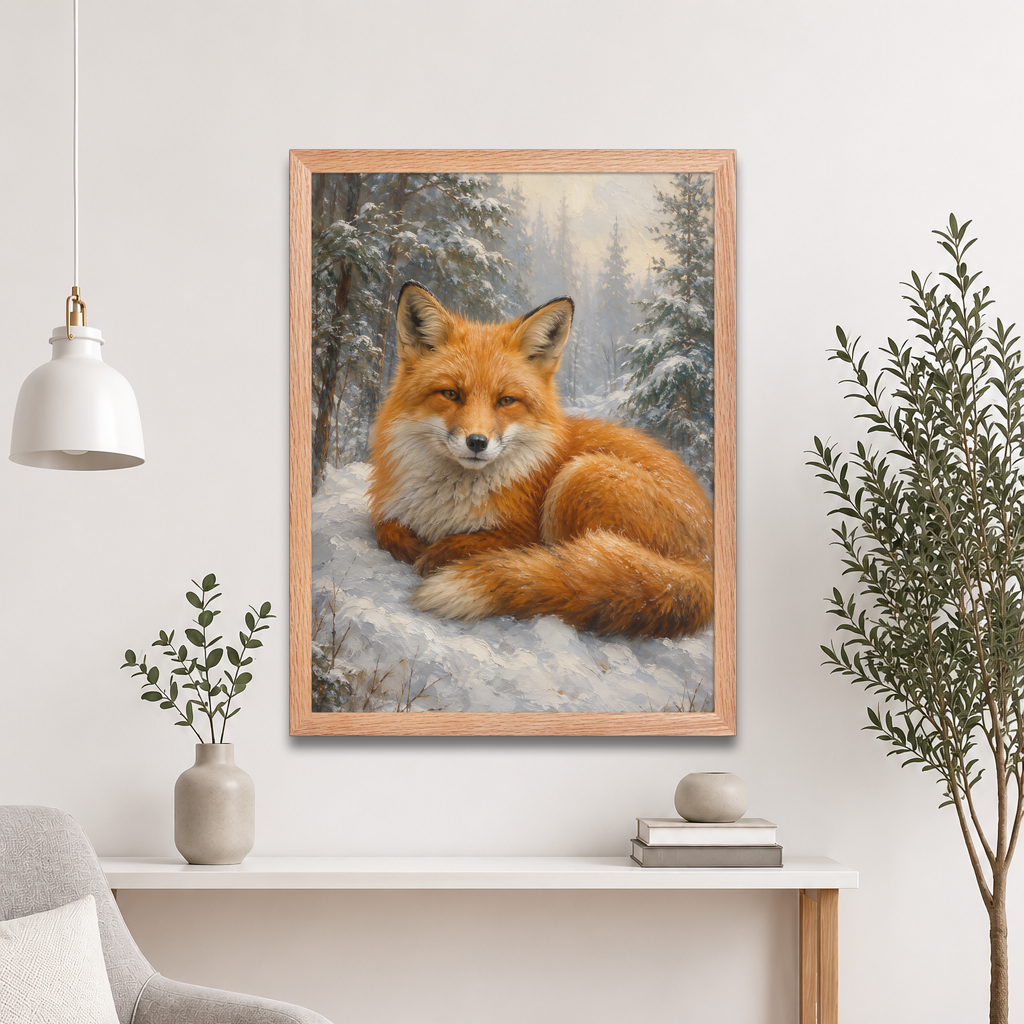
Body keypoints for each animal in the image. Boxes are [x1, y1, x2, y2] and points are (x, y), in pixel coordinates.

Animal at [366, 281, 714, 640]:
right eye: (451, 394)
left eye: (506, 400)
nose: (477, 442)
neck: (447, 502)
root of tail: (705, 565)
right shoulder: (391, 510)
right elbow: (385, 529)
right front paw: (412, 545)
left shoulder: (523, 531)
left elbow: (479, 542)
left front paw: (439, 553)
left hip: (580, 476)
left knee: (574, 566)